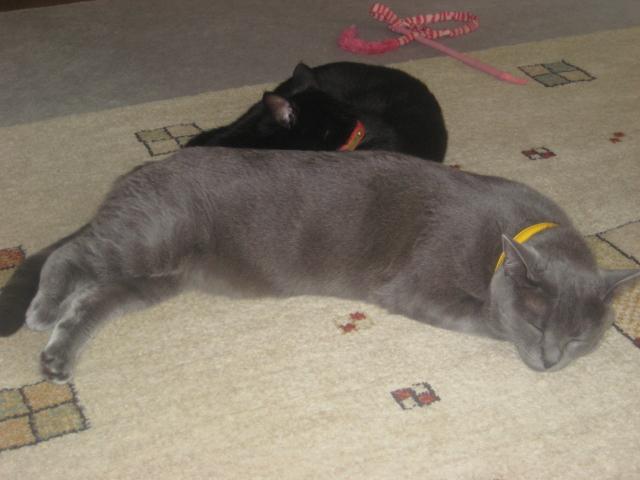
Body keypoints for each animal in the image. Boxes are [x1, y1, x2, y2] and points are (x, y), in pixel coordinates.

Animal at [2, 147, 638, 383]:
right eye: (537, 323)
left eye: (579, 338)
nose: (552, 361)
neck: (507, 241)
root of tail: (136, 172)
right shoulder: (418, 287)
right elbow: (486, 317)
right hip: (152, 240)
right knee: (72, 255)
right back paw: (41, 311)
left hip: (156, 278)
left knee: (96, 296)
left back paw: (57, 358)